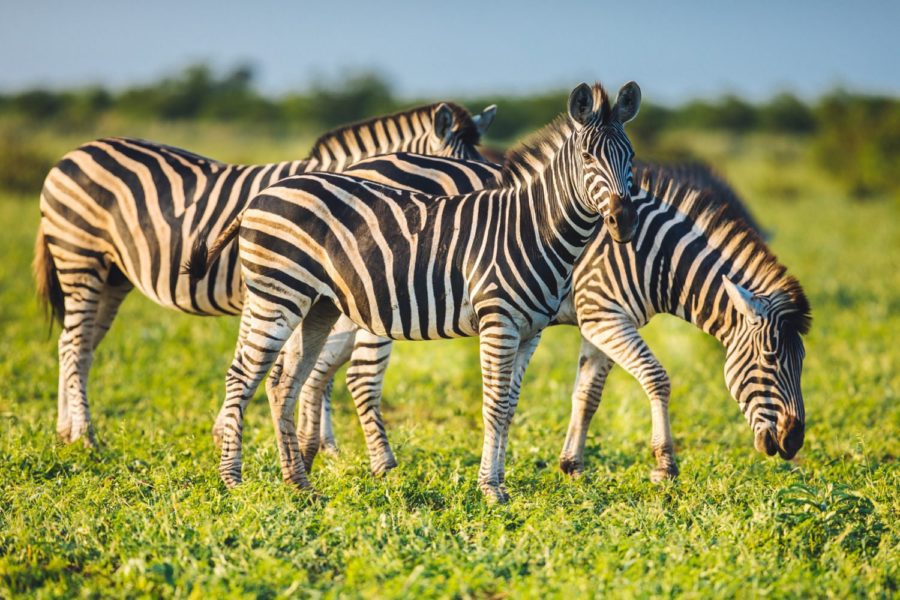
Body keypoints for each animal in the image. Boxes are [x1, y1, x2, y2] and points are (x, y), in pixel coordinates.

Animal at [35, 101, 496, 446]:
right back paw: (85, 435)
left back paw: (66, 431)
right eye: (465, 176)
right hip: (80, 258)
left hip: (114, 276)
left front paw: (313, 443)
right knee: (74, 343)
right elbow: (301, 366)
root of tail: (72, 153)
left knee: (75, 344)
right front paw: (310, 442)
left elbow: (309, 367)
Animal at [186, 79, 644, 502]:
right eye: (587, 158)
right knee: (242, 375)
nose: (623, 221)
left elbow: (510, 407)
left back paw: (299, 484)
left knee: (284, 381)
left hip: (317, 304)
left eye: (632, 158)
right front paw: (491, 489)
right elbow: (494, 404)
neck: (532, 227)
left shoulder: (530, 332)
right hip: (278, 293)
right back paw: (233, 481)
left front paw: (497, 484)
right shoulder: (499, 322)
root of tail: (260, 196)